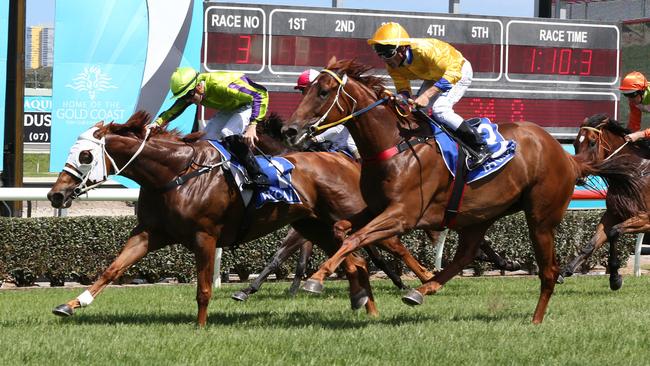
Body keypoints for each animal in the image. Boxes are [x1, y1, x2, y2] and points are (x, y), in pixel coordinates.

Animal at [45, 110, 436, 324]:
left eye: (84, 156)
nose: (55, 195)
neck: (175, 173)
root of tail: (345, 159)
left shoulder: (205, 236)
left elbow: (204, 288)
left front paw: (201, 326)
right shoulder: (149, 232)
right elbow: (111, 269)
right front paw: (71, 304)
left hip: (348, 219)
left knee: (380, 248)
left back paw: (416, 284)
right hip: (316, 226)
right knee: (356, 262)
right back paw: (366, 306)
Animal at [560, 114, 644, 288]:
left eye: (592, 143)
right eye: (575, 143)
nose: (578, 175)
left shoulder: (645, 218)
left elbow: (614, 232)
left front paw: (615, 278)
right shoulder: (612, 214)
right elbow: (592, 243)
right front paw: (566, 270)